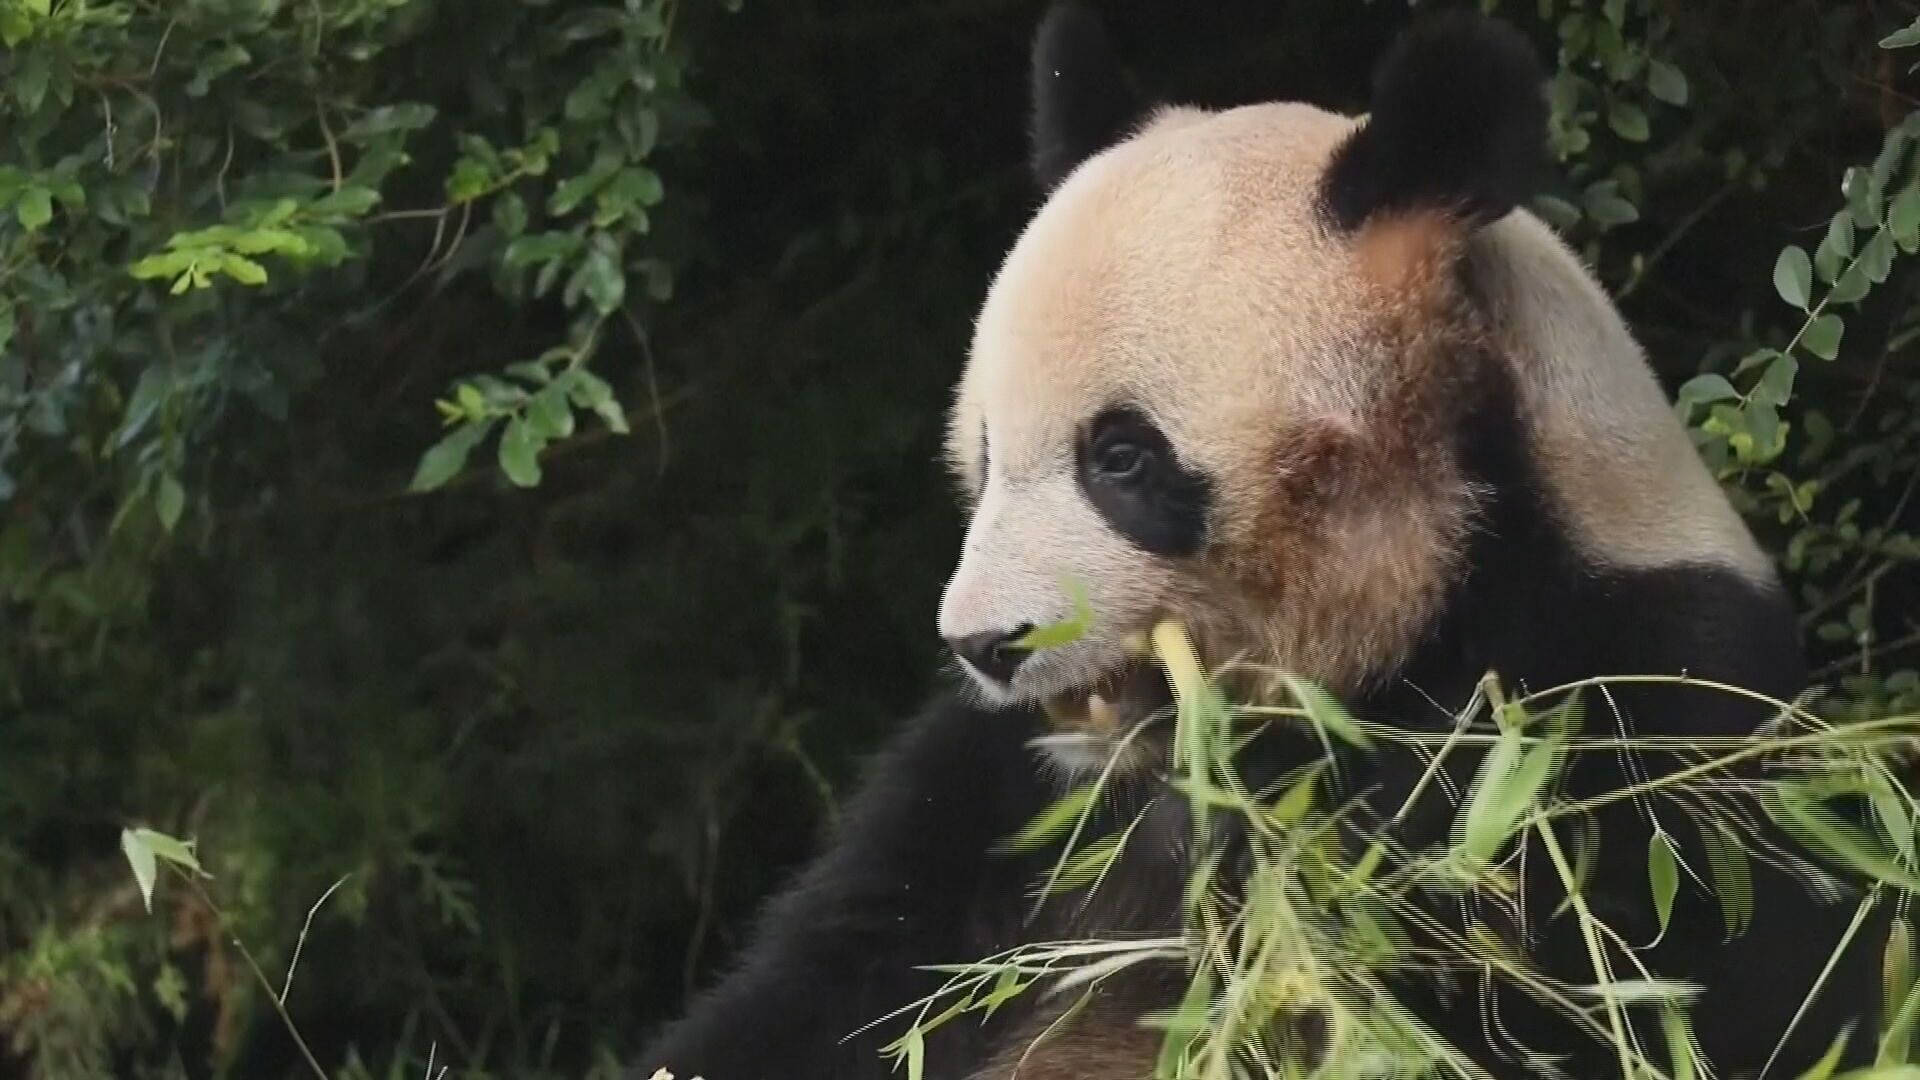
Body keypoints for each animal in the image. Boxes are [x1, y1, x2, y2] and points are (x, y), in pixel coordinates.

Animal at [637, 8, 1881, 1076]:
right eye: (984, 457)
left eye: (1121, 458)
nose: (987, 646)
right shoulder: (1004, 798)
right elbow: (840, 982)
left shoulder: (1627, 714)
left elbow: (1679, 986)